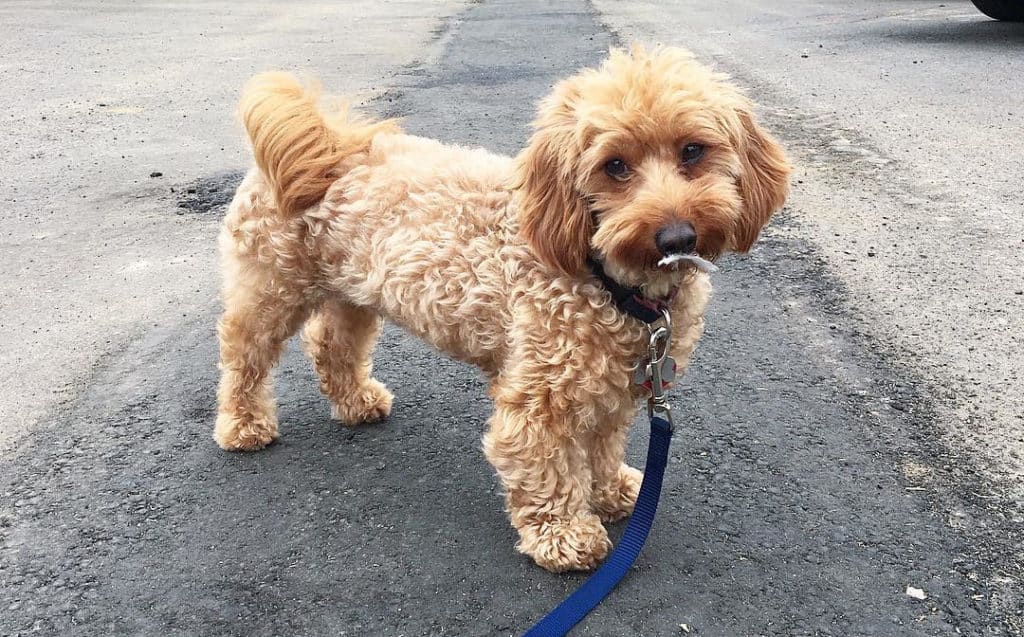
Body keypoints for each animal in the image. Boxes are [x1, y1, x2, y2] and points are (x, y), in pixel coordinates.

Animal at [211, 46, 790, 573]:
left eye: (693, 150)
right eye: (614, 166)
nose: (676, 236)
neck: (611, 283)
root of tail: (328, 149)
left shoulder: (618, 384)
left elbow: (603, 446)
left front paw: (611, 492)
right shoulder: (541, 394)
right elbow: (544, 465)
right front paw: (565, 535)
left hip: (352, 290)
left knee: (332, 342)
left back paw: (356, 402)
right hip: (271, 286)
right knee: (244, 353)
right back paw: (243, 424)